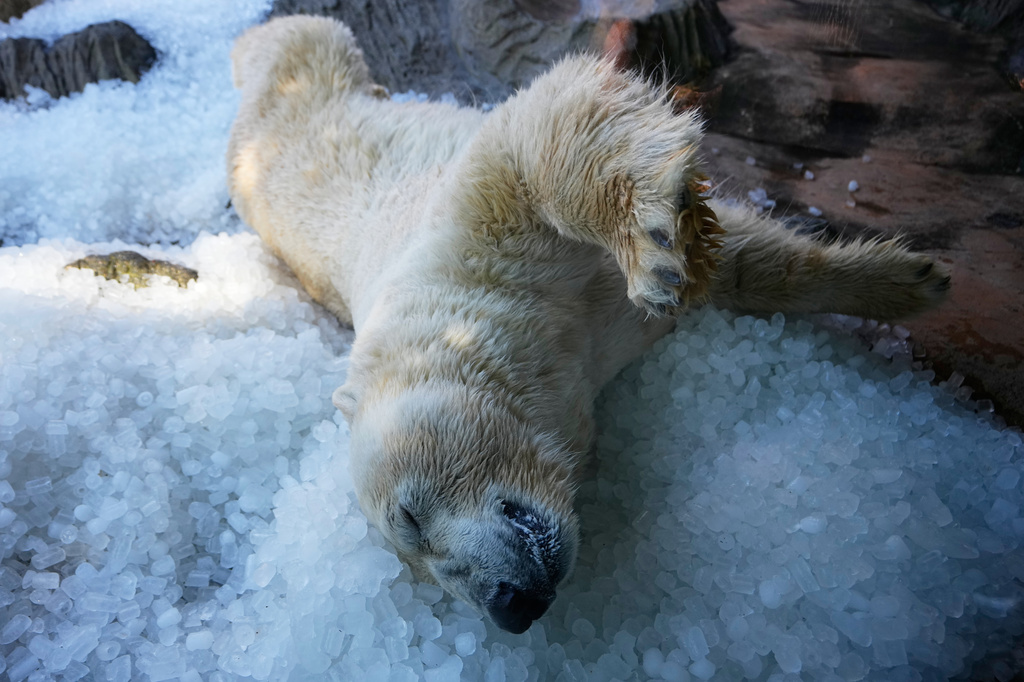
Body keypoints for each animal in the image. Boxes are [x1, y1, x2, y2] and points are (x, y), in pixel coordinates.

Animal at [227, 16, 950, 634]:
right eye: (432, 575)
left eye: (410, 515)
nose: (510, 607)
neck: (556, 339)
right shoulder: (598, 336)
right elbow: (741, 268)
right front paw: (904, 281)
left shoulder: (464, 226)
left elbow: (546, 134)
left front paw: (655, 244)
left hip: (306, 92)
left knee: (302, 42)